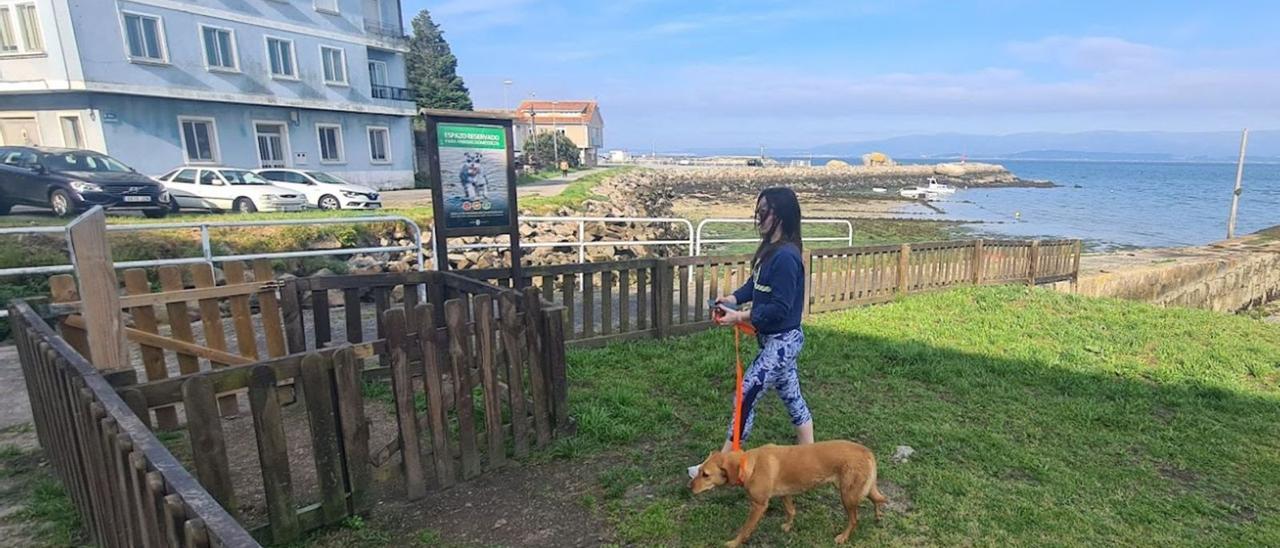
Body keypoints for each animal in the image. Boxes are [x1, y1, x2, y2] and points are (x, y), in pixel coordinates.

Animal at [691, 440, 880, 548]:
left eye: (705, 475)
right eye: (699, 470)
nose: (689, 487)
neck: (749, 464)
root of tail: (867, 451)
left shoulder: (758, 506)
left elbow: (745, 529)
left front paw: (734, 543)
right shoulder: (785, 494)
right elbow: (791, 511)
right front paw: (788, 526)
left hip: (847, 495)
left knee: (854, 519)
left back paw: (843, 537)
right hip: (862, 490)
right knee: (880, 499)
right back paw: (878, 516)